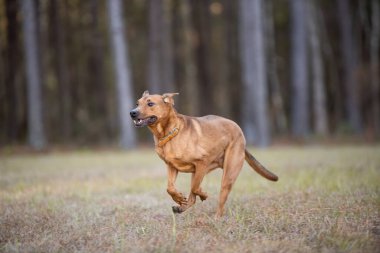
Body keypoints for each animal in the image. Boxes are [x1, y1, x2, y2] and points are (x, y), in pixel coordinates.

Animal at [131, 91, 280, 217]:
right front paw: (179, 198)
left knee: (219, 200)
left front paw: (203, 194)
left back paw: (216, 218)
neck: (169, 133)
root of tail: (240, 132)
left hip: (228, 175)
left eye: (150, 103)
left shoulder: (202, 163)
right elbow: (170, 188)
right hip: (197, 173)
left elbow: (195, 188)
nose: (132, 112)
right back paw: (181, 208)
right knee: (192, 198)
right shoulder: (172, 166)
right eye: (137, 103)